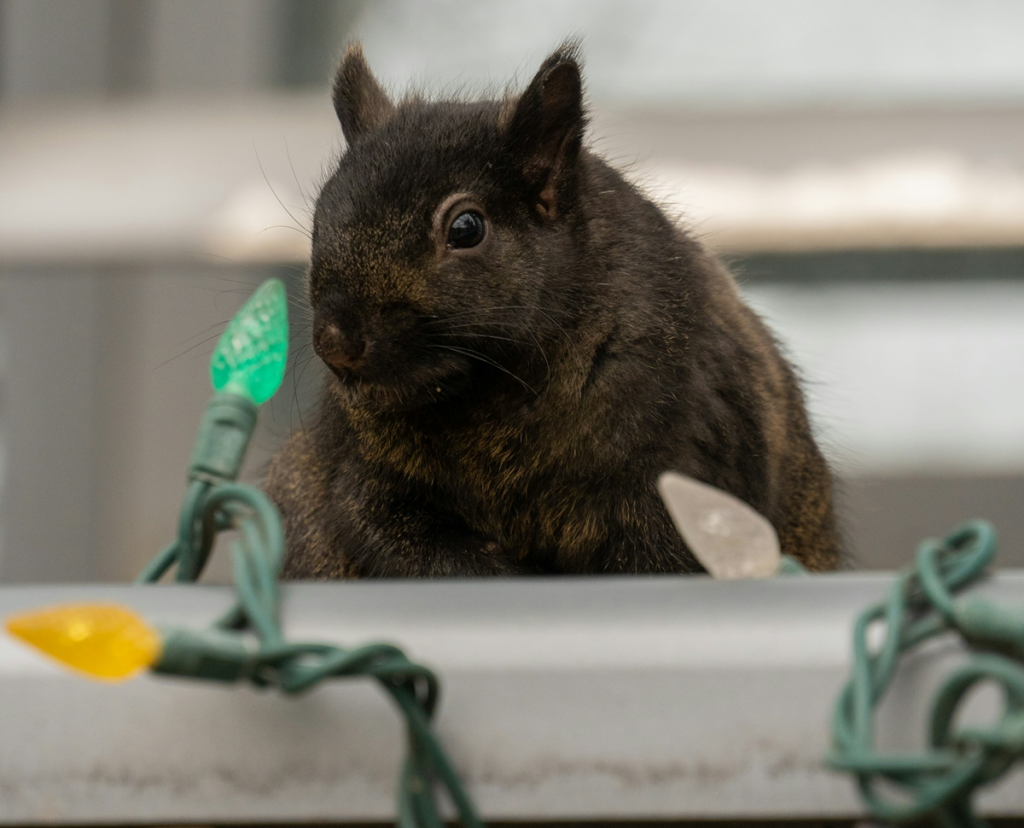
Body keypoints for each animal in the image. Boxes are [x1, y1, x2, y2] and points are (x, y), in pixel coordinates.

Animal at [265, 41, 841, 578]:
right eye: (320, 216)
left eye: (466, 228)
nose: (335, 343)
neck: (487, 392)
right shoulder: (361, 475)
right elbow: (386, 533)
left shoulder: (685, 470)